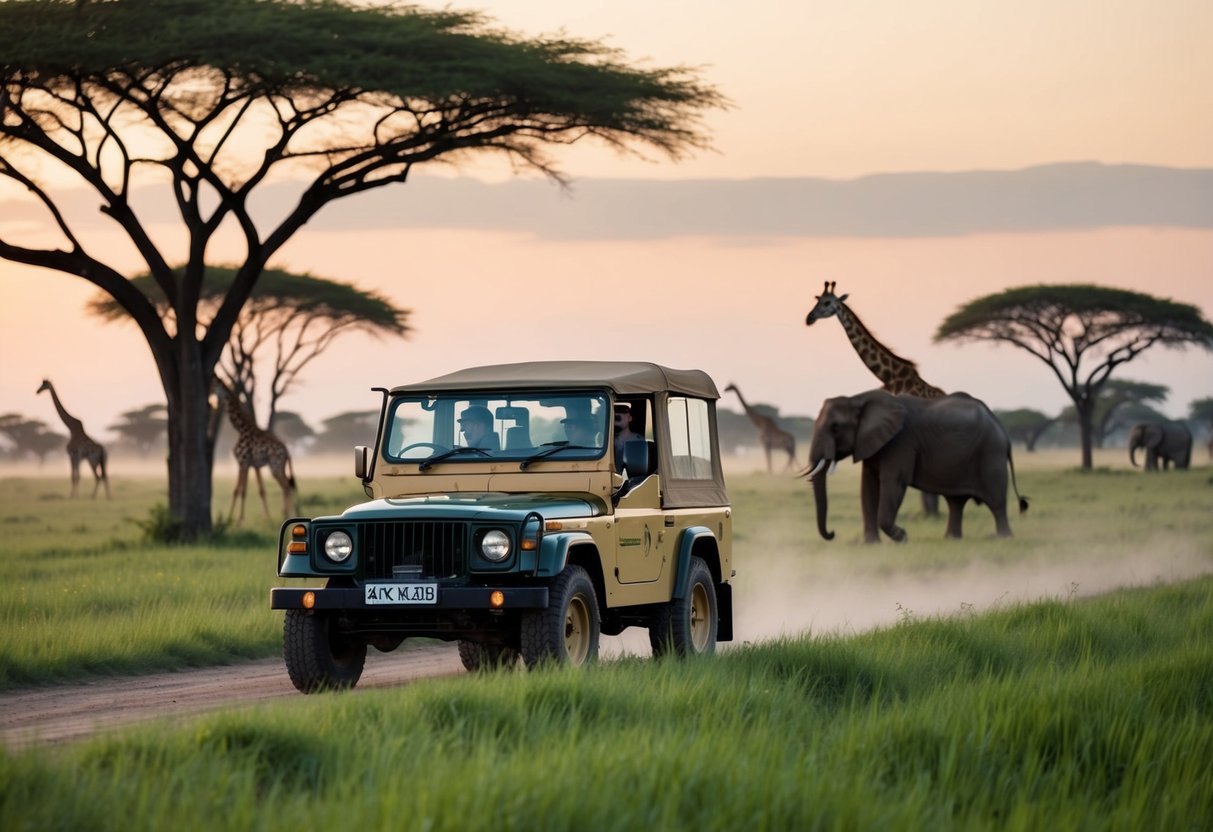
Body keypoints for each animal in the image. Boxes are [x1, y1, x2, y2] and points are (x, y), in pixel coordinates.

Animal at [215, 381, 296, 524]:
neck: (240, 428)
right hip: (280, 467)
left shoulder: (242, 462)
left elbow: (238, 490)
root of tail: (287, 451)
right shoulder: (248, 464)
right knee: (289, 486)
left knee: (286, 487)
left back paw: (285, 515)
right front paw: (236, 519)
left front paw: (234, 519)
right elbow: (244, 490)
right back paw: (289, 515)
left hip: (275, 467)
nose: (214, 402)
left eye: (215, 384)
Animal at [805, 389, 1028, 543]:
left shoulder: (901, 442)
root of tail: (1003, 431)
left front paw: (903, 537)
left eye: (835, 427)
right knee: (956, 502)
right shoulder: (871, 443)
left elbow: (893, 483)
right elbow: (867, 486)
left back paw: (1004, 539)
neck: (857, 399)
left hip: (990, 453)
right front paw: (871, 544)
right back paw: (951, 540)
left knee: (996, 501)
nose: (833, 533)